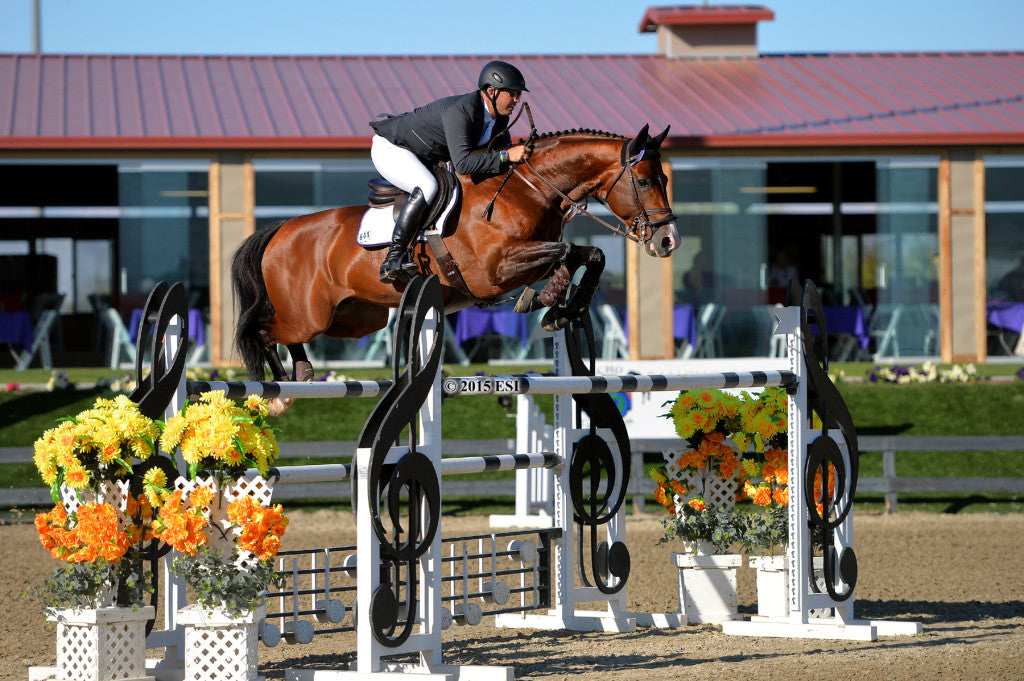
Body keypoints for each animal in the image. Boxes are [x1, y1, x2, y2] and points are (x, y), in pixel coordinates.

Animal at [232, 123, 679, 393]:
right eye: (643, 181)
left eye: (665, 178)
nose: (668, 241)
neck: (529, 188)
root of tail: (281, 229)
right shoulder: (496, 270)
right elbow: (568, 252)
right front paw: (547, 300)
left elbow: (592, 253)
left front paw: (564, 309)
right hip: (308, 315)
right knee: (264, 333)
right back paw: (280, 390)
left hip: (354, 319)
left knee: (285, 338)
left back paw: (302, 375)